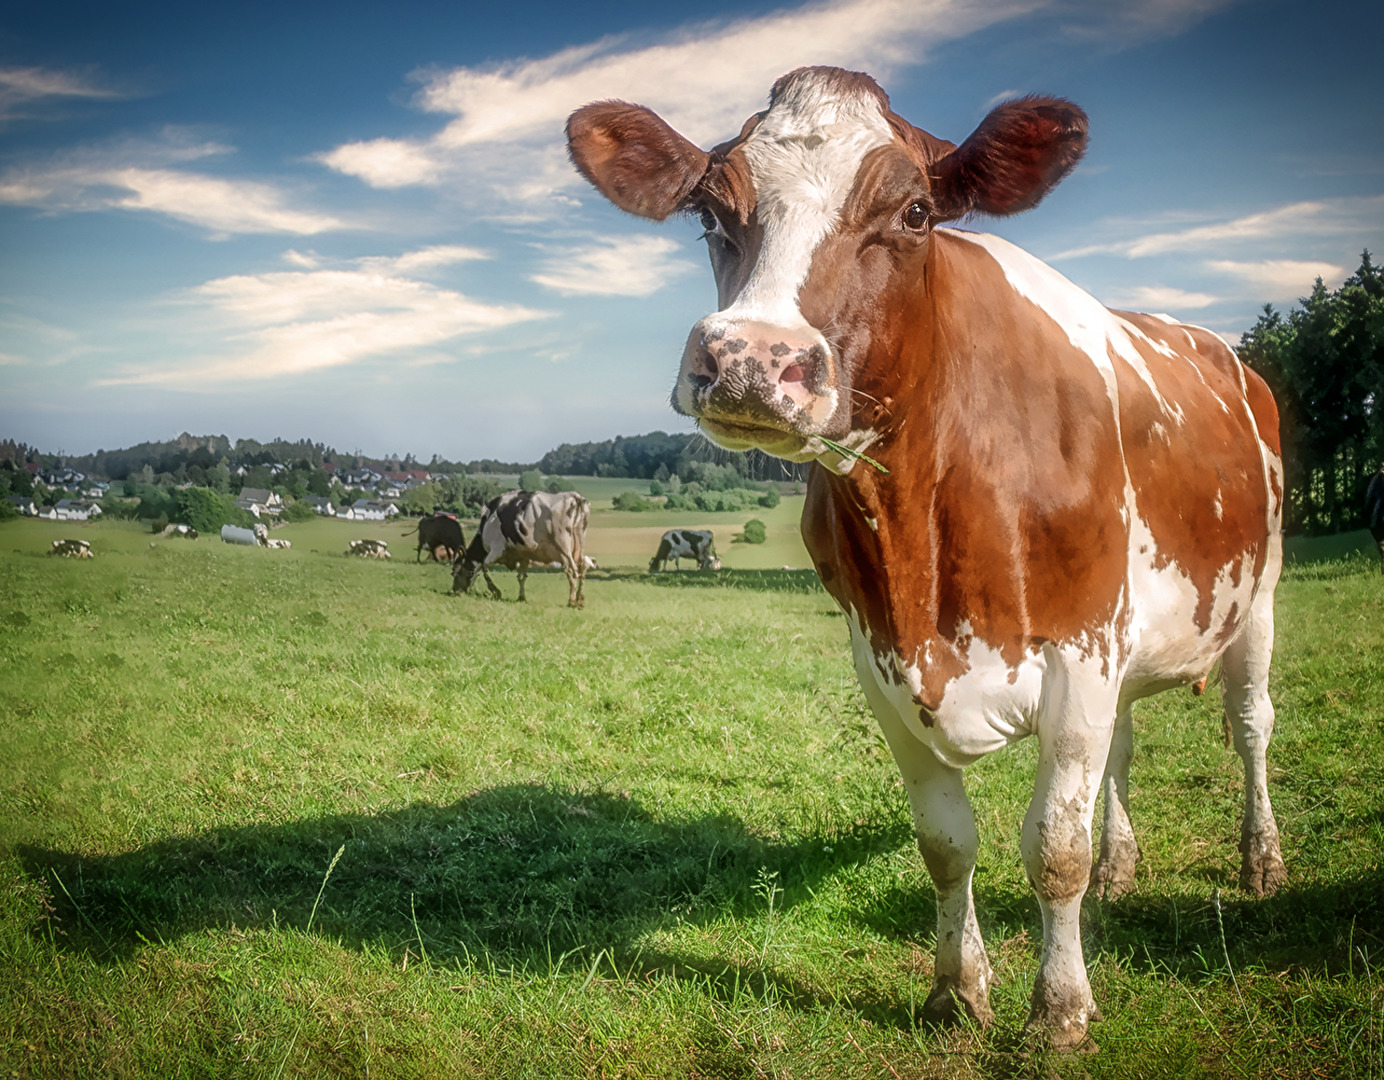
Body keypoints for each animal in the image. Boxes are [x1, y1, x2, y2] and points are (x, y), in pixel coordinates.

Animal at [451, 490, 586, 606]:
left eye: (456, 571)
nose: (454, 591)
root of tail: (573, 496)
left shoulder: (496, 549)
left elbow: (484, 568)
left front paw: (496, 592)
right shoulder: (524, 556)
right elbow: (521, 577)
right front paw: (521, 597)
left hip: (564, 550)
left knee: (572, 571)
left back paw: (572, 602)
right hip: (578, 548)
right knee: (582, 568)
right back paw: (580, 600)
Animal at [570, 65, 1284, 1046]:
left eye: (914, 213)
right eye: (711, 213)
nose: (753, 359)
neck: (924, 538)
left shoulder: (1083, 649)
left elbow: (1053, 848)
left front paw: (1060, 1009)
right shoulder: (880, 663)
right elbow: (947, 844)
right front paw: (957, 991)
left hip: (1260, 592)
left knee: (1250, 725)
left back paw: (1261, 861)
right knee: (1127, 750)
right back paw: (1123, 865)